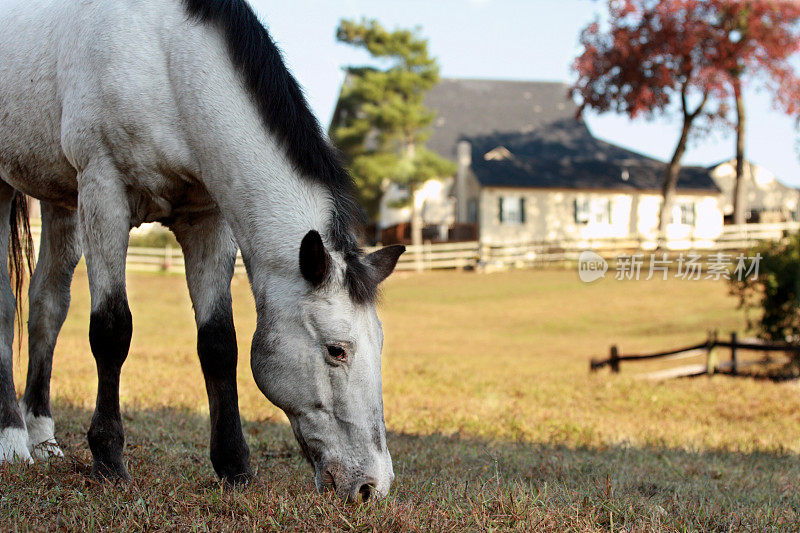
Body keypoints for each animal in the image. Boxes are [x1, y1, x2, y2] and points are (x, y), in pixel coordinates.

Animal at [0, 0, 404, 500]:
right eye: (336, 350)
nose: (373, 485)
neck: (165, 58)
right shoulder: (103, 192)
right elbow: (112, 330)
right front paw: (109, 458)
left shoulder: (207, 219)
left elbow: (219, 342)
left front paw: (234, 466)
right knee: (6, 308)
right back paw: (12, 438)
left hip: (61, 203)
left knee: (46, 308)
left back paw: (41, 437)